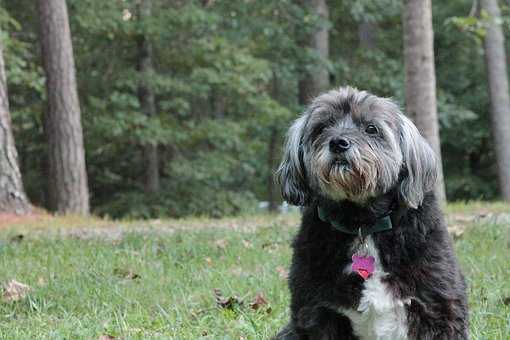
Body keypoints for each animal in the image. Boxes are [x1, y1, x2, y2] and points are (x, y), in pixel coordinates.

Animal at [272, 87, 468, 340]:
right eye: (322, 128)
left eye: (371, 128)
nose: (338, 143)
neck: (362, 223)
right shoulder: (316, 313)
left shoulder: (438, 308)